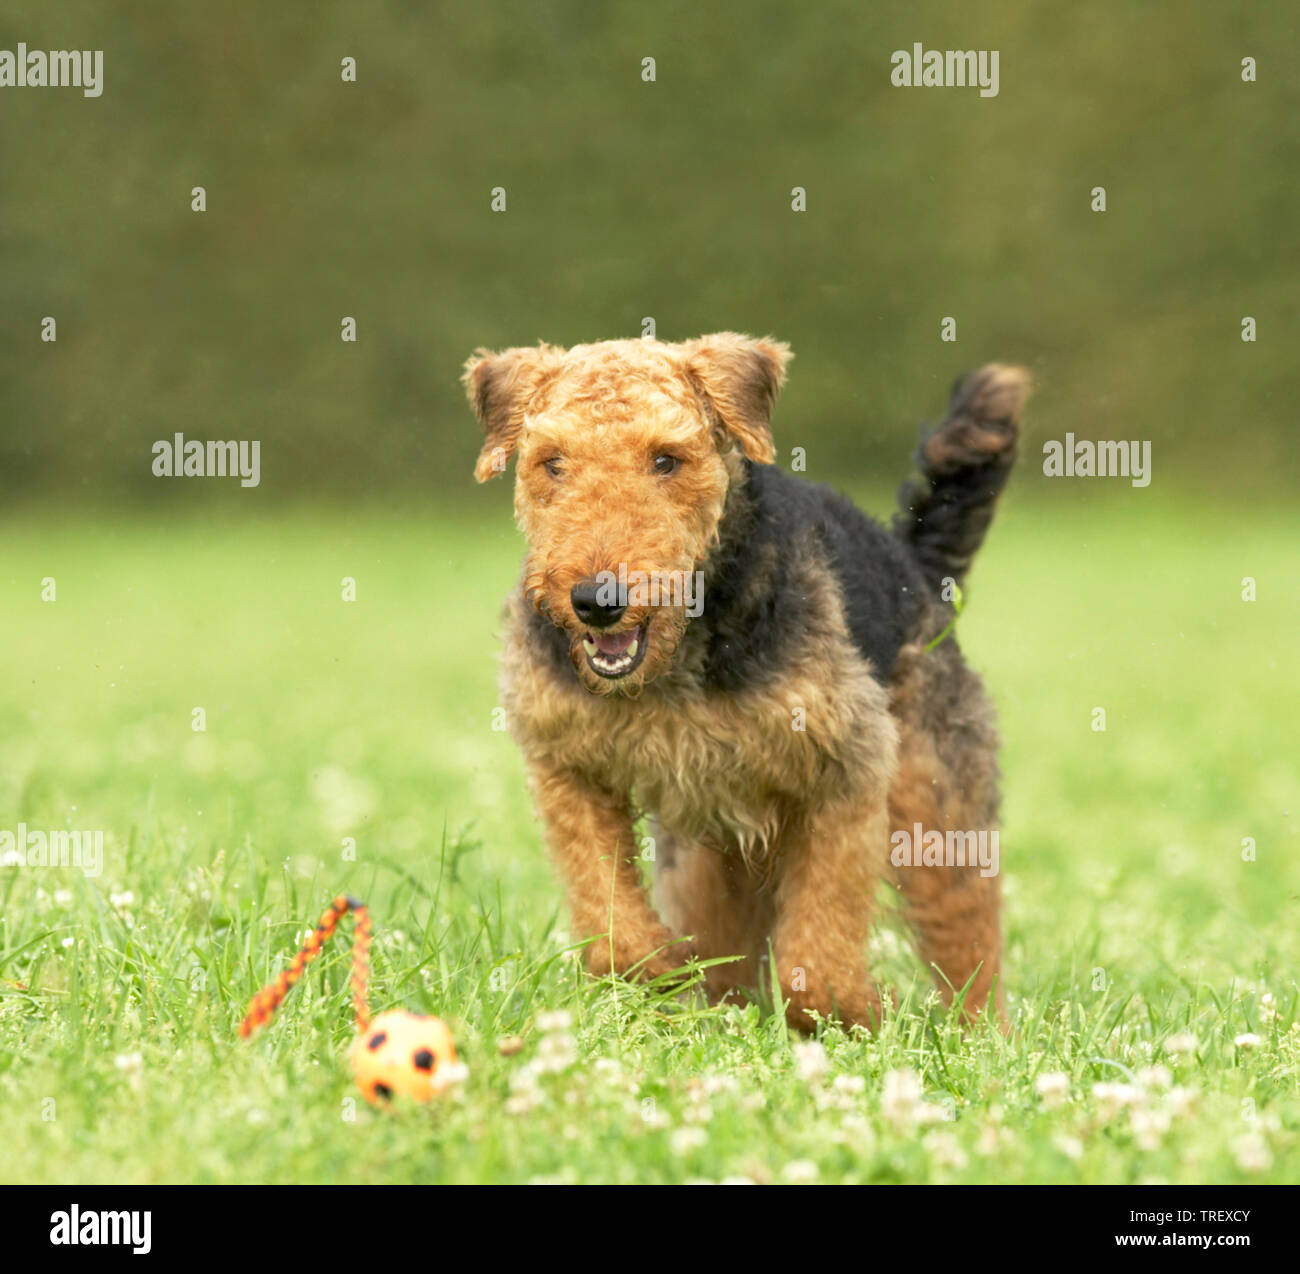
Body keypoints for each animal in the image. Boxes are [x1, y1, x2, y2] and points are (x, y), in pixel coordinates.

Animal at [462, 332, 1029, 1029]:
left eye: (667, 459)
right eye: (552, 462)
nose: (598, 601)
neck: (674, 667)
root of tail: (913, 564)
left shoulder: (845, 769)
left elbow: (817, 963)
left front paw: (869, 1012)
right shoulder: (568, 766)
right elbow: (614, 930)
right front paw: (667, 972)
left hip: (936, 809)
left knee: (968, 938)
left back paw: (980, 1035)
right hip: (714, 853)